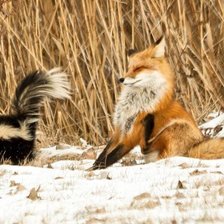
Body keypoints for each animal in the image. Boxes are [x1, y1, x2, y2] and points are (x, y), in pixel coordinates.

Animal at [90, 37, 224, 170]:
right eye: (128, 69)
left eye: (138, 68)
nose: (121, 79)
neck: (133, 104)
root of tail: (192, 148)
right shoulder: (119, 130)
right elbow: (103, 154)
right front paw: (93, 166)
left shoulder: (131, 137)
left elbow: (110, 158)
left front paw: (93, 169)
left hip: (172, 128)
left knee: (146, 149)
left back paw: (148, 122)